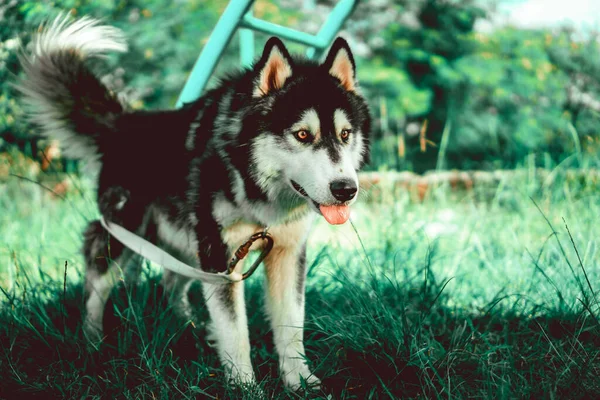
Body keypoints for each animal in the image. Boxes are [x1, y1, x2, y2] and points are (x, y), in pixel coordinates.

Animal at [18, 16, 370, 390]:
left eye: (345, 134)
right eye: (302, 135)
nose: (346, 189)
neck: (255, 186)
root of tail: (126, 122)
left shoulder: (286, 252)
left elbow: (290, 325)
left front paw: (300, 381)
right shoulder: (220, 256)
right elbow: (236, 332)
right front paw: (246, 387)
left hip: (187, 241)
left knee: (172, 284)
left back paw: (190, 329)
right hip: (126, 234)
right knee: (96, 284)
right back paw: (92, 342)